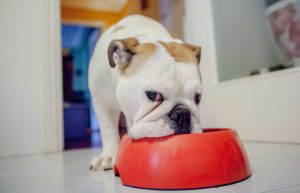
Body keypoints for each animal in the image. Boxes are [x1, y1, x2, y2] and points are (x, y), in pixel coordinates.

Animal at [88, 14, 203, 170]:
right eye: (153, 95)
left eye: (197, 97)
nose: (183, 114)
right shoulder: (101, 102)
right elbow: (108, 130)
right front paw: (108, 156)